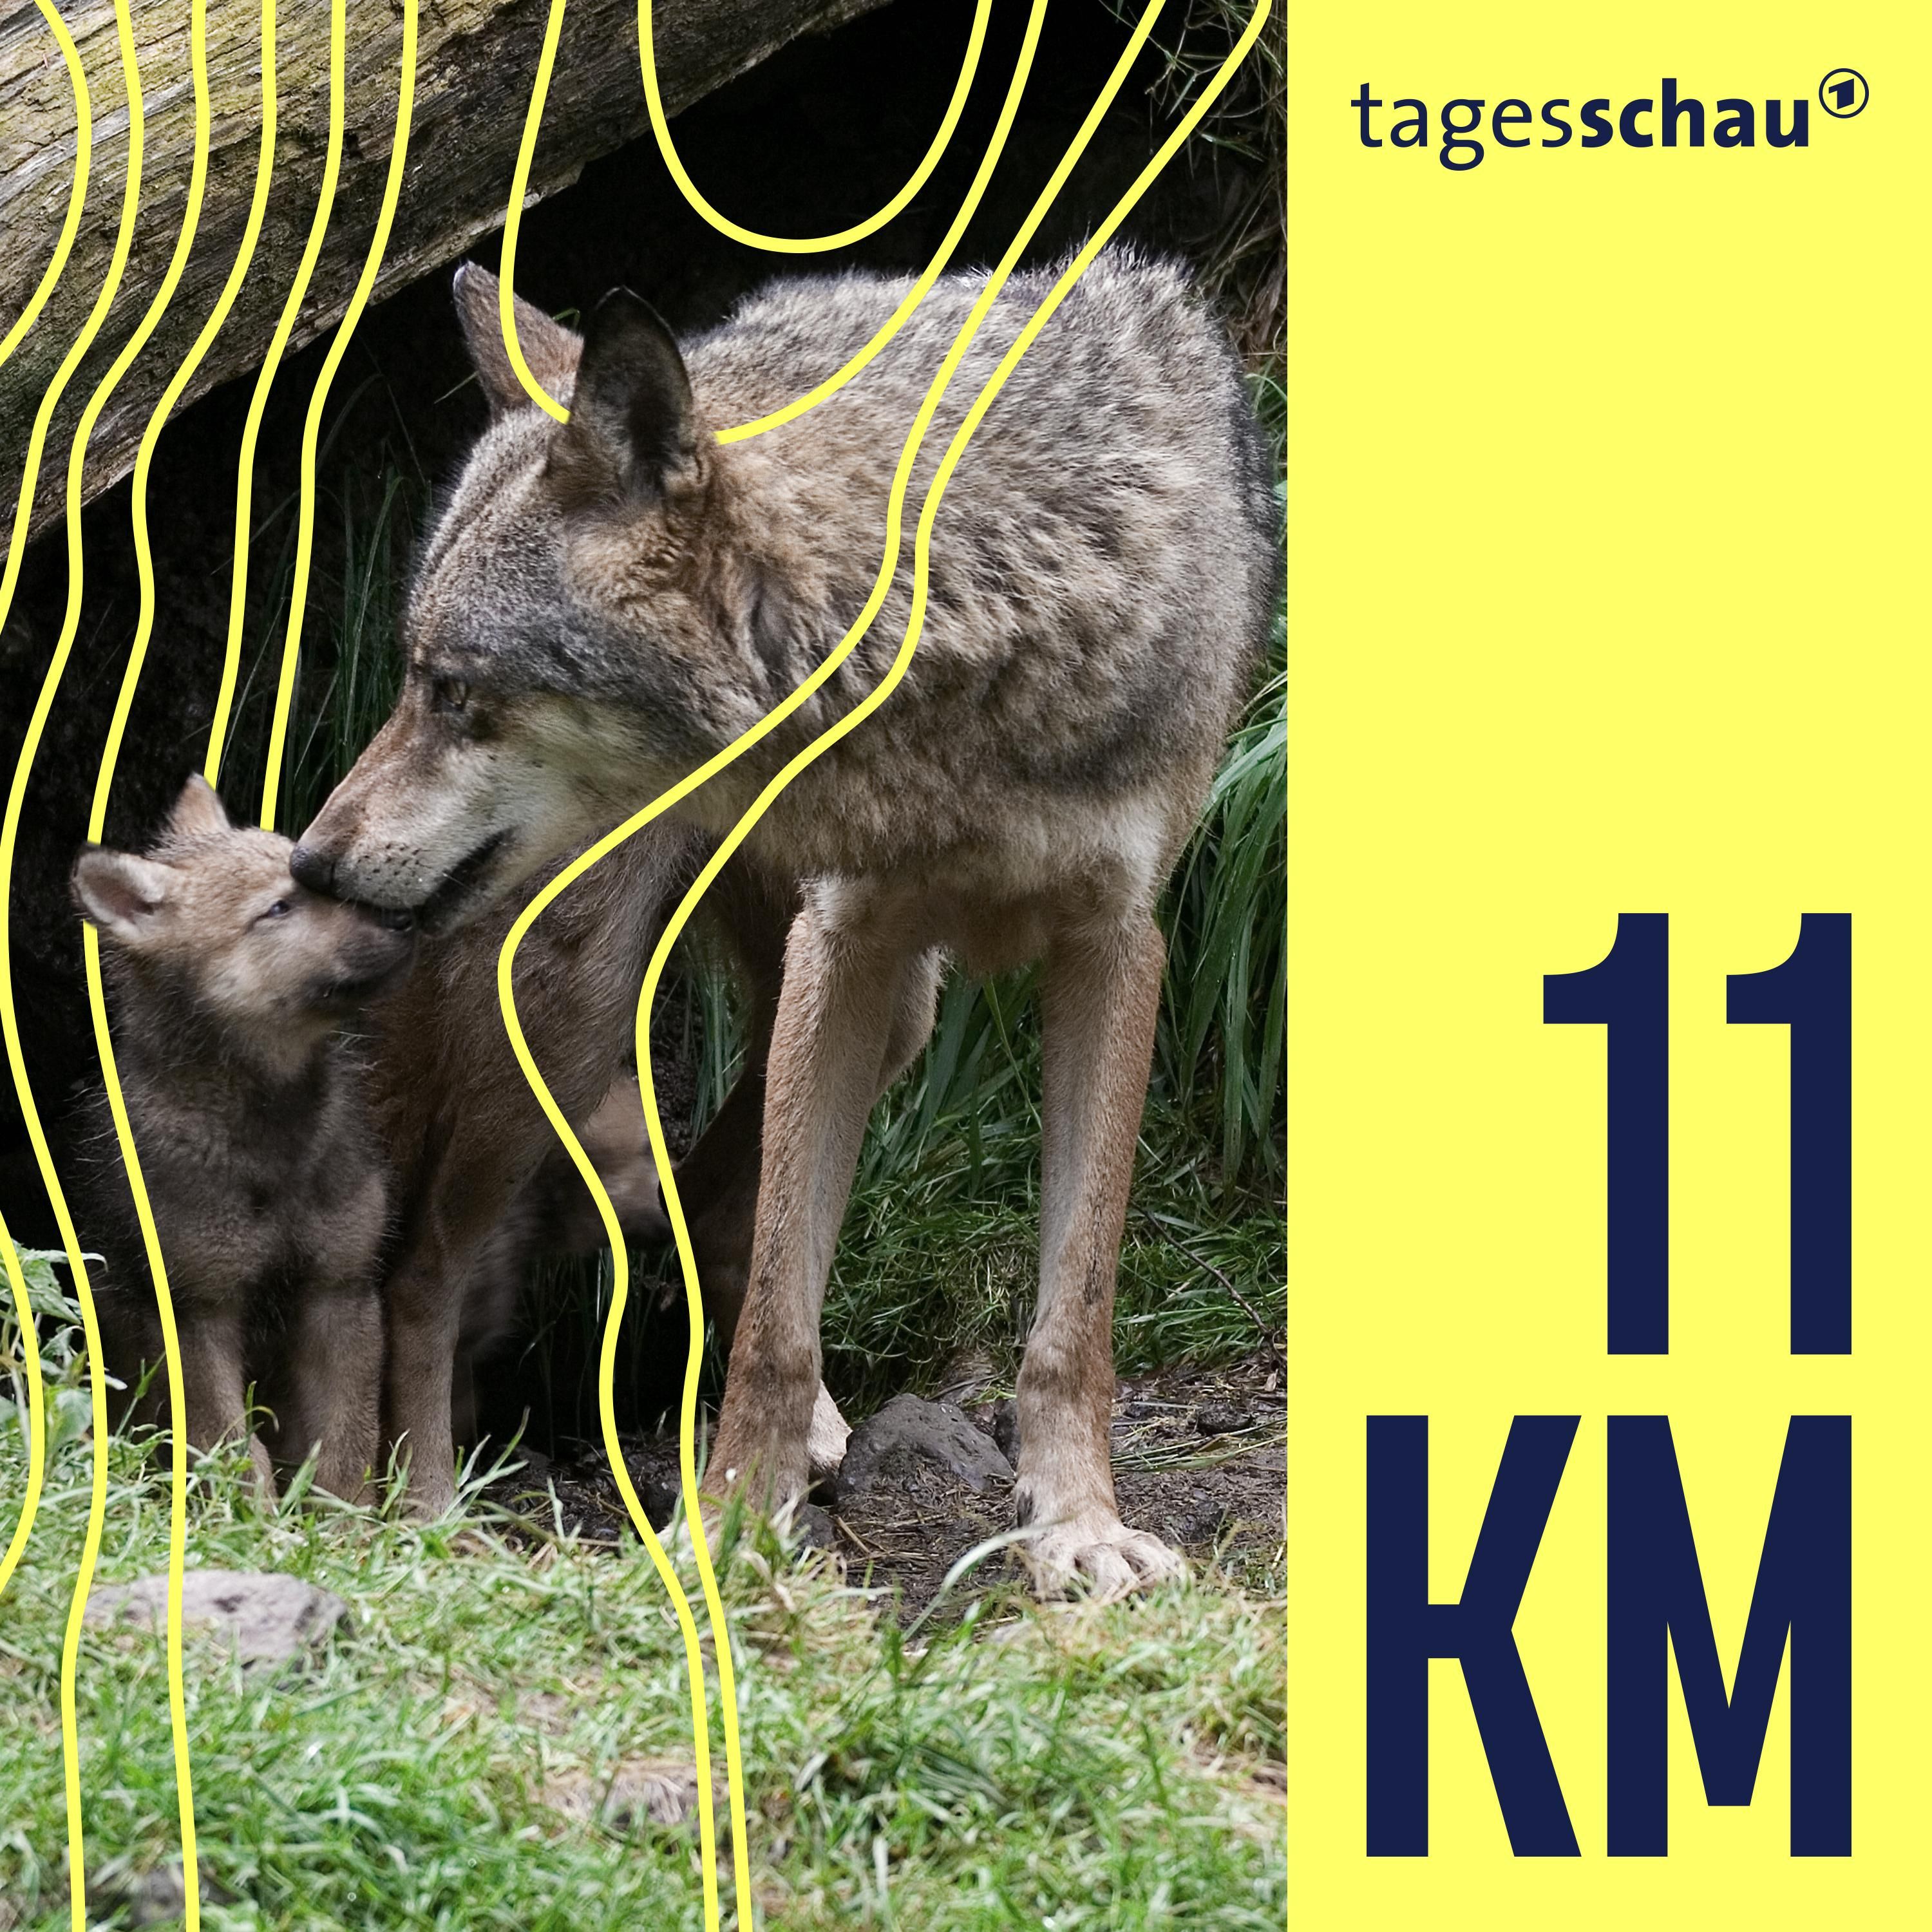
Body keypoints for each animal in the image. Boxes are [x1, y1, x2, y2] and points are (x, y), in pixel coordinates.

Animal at [70, 776, 416, 1498]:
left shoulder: (341, 1290)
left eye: (318, 882)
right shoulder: (196, 1310)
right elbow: (230, 1449)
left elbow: (345, 1448)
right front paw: (249, 1520)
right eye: (278, 908)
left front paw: (347, 1526)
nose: (406, 918)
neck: (274, 1138)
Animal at [293, 252, 1278, 1591]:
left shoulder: (1115, 945)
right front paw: (722, 1533)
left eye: (452, 692)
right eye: (412, 676)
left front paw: (1079, 1527)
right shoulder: (845, 939)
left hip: (892, 1014)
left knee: (714, 1203)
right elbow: (773, 1325)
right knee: (431, 1271)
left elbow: (1072, 1313)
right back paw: (441, 1517)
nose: (315, 861)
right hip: (571, 1015)